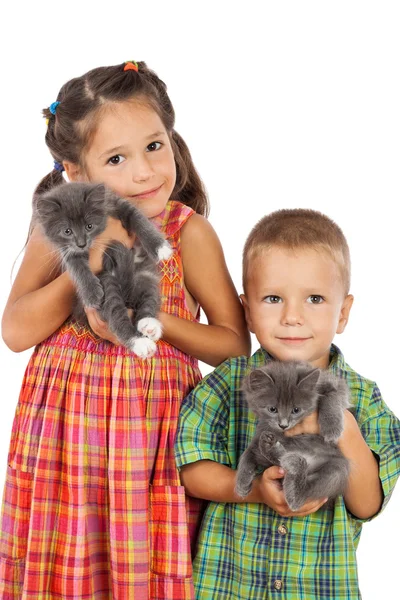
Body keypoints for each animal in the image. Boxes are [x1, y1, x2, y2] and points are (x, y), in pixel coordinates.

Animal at [34, 178, 172, 356]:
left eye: (89, 226)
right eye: (67, 231)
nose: (81, 244)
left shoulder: (118, 203)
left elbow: (138, 219)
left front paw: (160, 247)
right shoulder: (68, 249)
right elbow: (76, 264)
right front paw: (91, 292)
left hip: (144, 275)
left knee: (149, 297)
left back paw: (149, 325)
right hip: (108, 282)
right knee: (116, 312)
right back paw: (140, 342)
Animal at [236, 360, 352, 510]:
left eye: (296, 410)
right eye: (272, 409)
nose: (283, 425)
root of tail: (308, 460)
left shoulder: (334, 383)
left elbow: (332, 397)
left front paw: (332, 428)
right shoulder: (264, 427)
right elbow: (246, 452)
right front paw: (242, 482)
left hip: (337, 470)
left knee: (299, 499)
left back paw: (294, 465)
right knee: (269, 455)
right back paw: (272, 449)